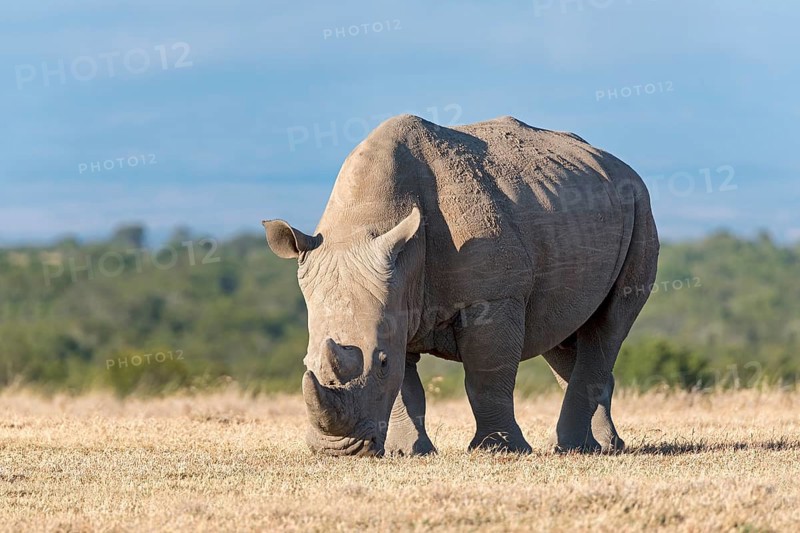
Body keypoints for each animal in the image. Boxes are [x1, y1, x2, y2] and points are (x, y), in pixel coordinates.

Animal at [263, 115, 659, 456]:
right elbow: (407, 390)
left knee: (608, 325)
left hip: (640, 205)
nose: (337, 451)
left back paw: (570, 447)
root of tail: (617, 164)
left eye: (381, 362)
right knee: (560, 332)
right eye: (306, 361)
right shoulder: (397, 297)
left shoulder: (494, 298)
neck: (364, 222)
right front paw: (408, 452)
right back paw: (599, 447)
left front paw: (497, 450)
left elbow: (486, 376)